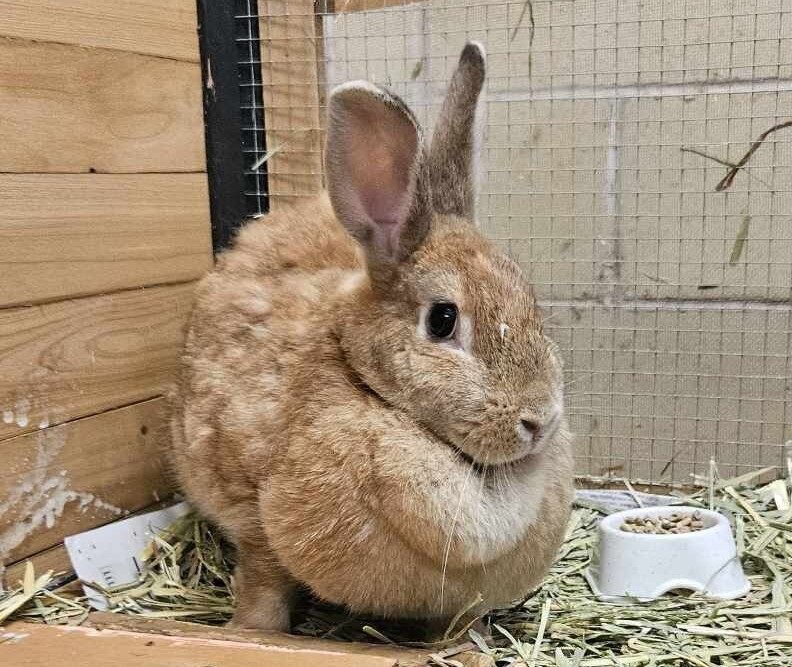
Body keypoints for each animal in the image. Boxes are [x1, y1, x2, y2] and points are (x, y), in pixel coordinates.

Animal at [168, 42, 574, 633]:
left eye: (529, 298)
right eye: (443, 320)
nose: (540, 421)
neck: (364, 379)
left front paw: (468, 642)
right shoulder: (254, 525)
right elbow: (264, 585)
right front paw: (250, 633)